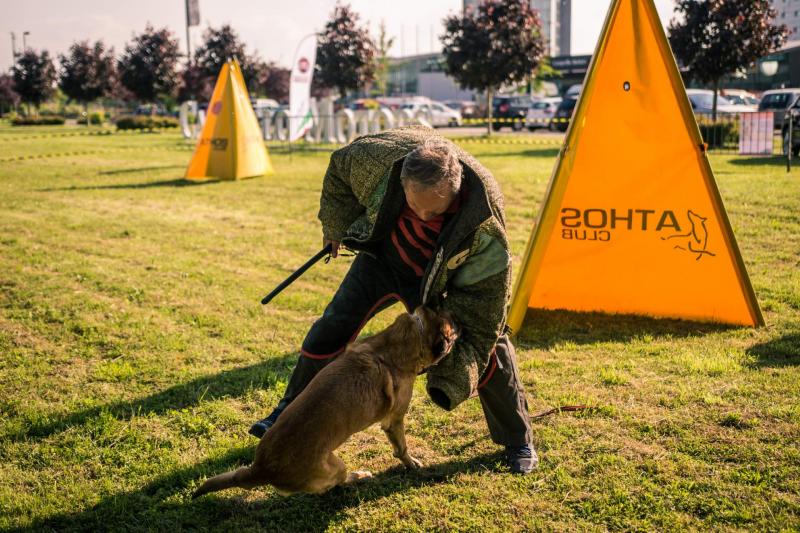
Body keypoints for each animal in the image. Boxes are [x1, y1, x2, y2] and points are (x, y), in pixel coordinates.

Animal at [192, 306, 456, 496]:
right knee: (339, 482)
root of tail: (260, 470)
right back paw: (360, 476)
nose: (458, 322)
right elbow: (402, 448)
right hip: (336, 465)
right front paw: (411, 463)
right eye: (452, 332)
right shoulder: (395, 421)